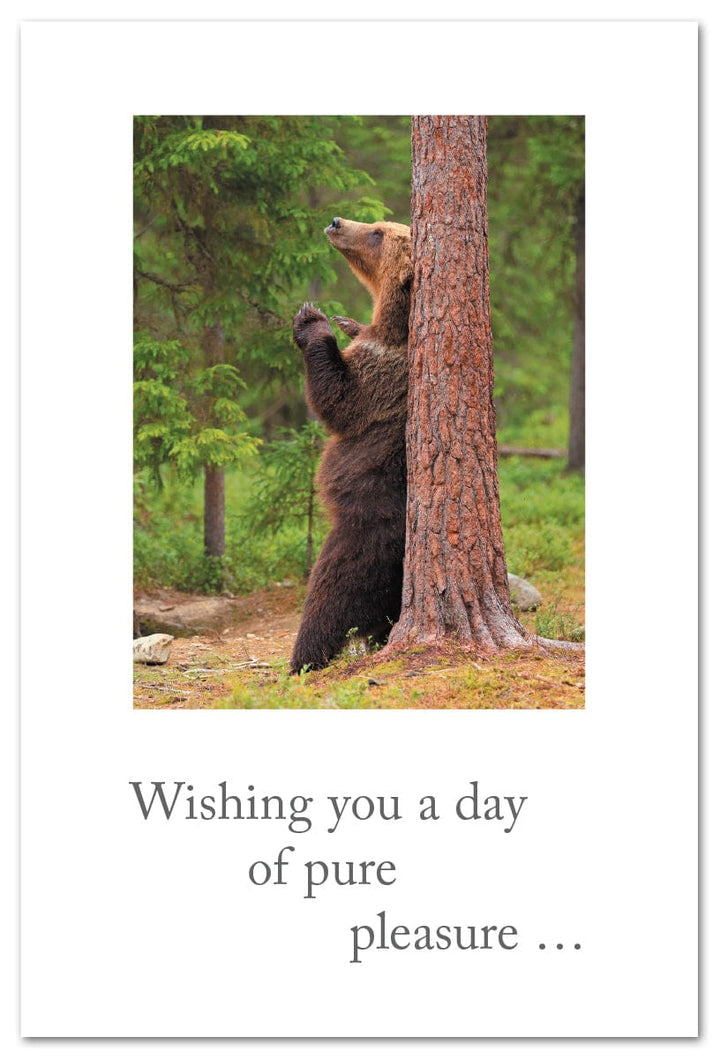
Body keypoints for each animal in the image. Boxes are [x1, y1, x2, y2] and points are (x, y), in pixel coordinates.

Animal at [289, 216, 412, 674]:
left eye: (378, 232)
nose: (336, 221)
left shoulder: (385, 372)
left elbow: (340, 400)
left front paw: (312, 318)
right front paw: (345, 320)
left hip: (359, 544)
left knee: (326, 604)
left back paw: (302, 662)